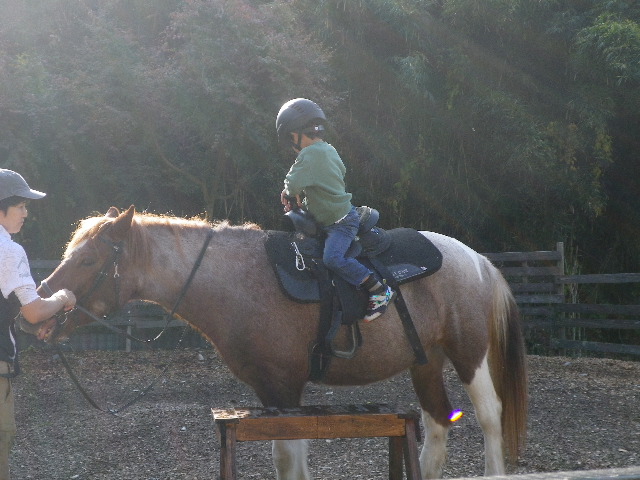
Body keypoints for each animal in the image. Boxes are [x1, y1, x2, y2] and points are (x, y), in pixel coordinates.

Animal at [37, 205, 528, 479]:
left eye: (88, 259)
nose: (41, 298)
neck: (239, 281)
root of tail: (478, 261)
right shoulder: (270, 392)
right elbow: (287, 457)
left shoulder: (286, 387)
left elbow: (289, 460)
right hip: (425, 362)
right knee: (438, 423)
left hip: (469, 354)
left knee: (489, 416)